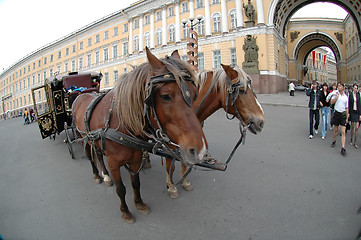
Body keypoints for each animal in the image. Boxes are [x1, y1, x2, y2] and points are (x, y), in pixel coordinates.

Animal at [71, 47, 207, 224]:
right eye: (166, 96)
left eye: (195, 93)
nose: (200, 151)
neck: (120, 122)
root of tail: (80, 95)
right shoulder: (113, 163)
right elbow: (121, 189)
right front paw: (125, 211)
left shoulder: (135, 159)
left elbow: (135, 183)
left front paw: (139, 204)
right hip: (84, 140)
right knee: (91, 157)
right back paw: (99, 175)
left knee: (99, 156)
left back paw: (105, 176)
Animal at [165, 51, 262, 198]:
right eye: (241, 90)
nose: (261, 121)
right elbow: (170, 162)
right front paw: (171, 186)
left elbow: (184, 161)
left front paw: (185, 181)